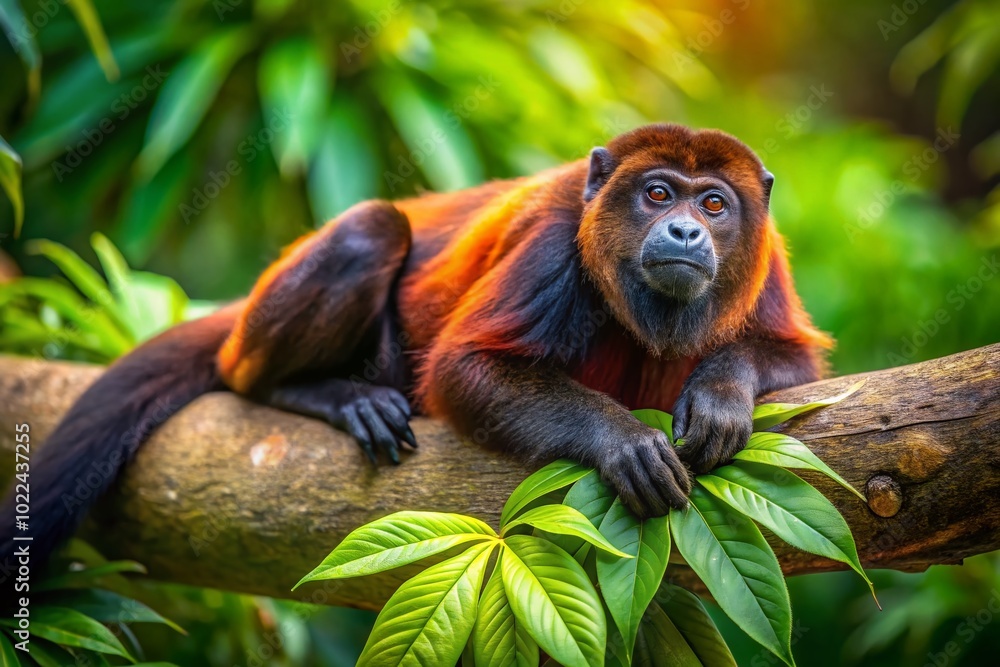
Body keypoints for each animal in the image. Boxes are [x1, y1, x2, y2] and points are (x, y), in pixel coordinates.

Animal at [0, 123, 830, 570]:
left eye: (715, 204)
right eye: (657, 193)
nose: (686, 229)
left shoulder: (770, 257)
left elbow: (797, 359)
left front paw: (720, 395)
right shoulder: (556, 238)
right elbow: (464, 370)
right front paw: (621, 439)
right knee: (368, 233)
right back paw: (319, 390)